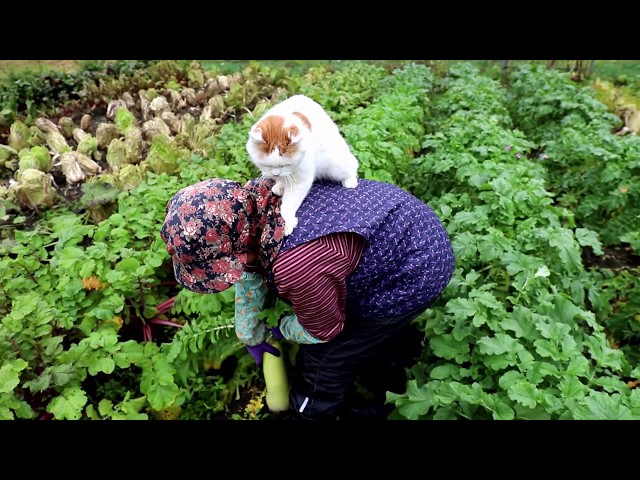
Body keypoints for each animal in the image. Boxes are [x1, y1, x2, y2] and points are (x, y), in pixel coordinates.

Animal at [245, 94, 360, 236]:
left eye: (285, 164)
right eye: (267, 165)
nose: (275, 173)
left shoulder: (299, 180)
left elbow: (289, 203)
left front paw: (286, 222)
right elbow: (282, 180)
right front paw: (280, 185)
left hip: (337, 166)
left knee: (353, 163)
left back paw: (350, 180)